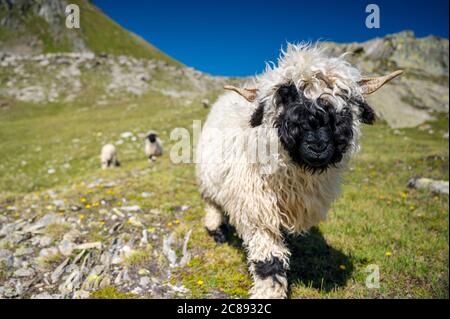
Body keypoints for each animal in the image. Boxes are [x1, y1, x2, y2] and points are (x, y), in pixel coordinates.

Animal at [195, 43, 402, 300]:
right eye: (285, 98)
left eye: (344, 104)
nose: (317, 146)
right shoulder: (257, 207)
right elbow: (268, 260)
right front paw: (269, 293)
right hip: (208, 178)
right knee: (212, 203)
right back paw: (217, 231)